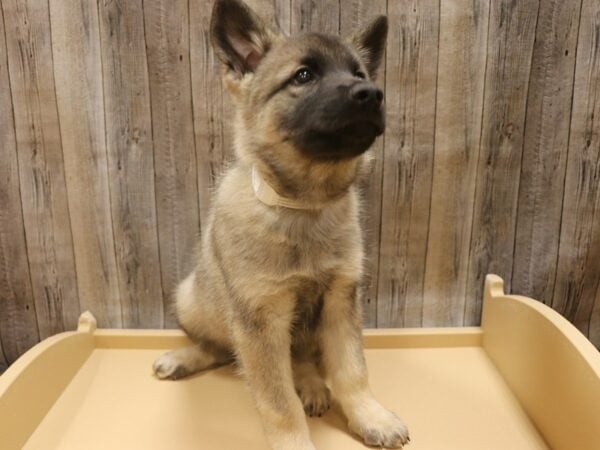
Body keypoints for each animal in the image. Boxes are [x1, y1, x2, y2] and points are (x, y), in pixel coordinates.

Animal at [152, 1, 410, 448]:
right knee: (217, 347)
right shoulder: (259, 320)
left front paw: (369, 416)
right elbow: (278, 401)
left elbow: (353, 370)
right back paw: (182, 358)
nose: (372, 95)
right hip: (193, 299)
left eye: (359, 74)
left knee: (298, 359)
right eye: (303, 76)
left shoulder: (341, 300)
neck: (304, 206)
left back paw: (311, 385)